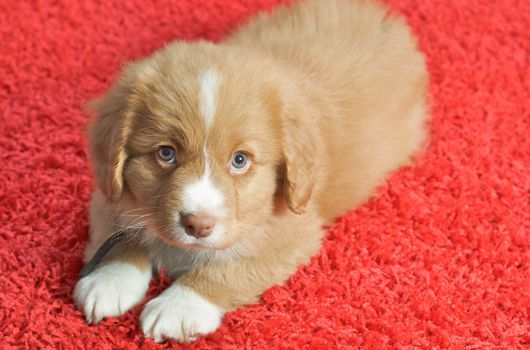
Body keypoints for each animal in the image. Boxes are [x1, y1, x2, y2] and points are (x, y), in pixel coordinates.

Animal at [73, 0, 424, 344]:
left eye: (239, 160)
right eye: (166, 153)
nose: (198, 225)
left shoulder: (294, 231)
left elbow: (231, 268)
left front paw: (180, 307)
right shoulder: (107, 192)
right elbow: (118, 233)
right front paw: (109, 279)